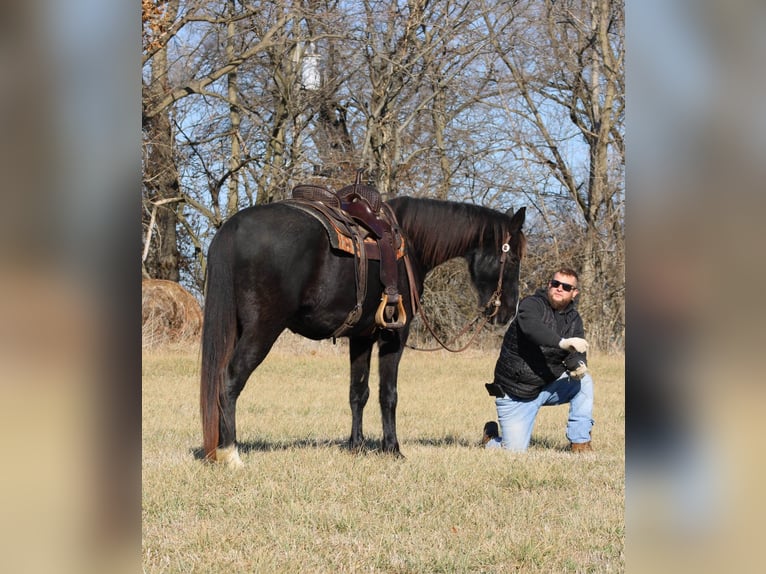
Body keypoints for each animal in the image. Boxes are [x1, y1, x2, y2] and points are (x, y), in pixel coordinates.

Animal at [200, 196, 528, 466]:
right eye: (513, 258)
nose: (507, 312)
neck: (409, 243)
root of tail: (232, 227)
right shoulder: (394, 336)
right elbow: (388, 393)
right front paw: (393, 449)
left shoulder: (360, 337)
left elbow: (358, 392)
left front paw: (356, 446)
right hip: (262, 330)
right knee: (229, 380)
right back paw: (230, 453)